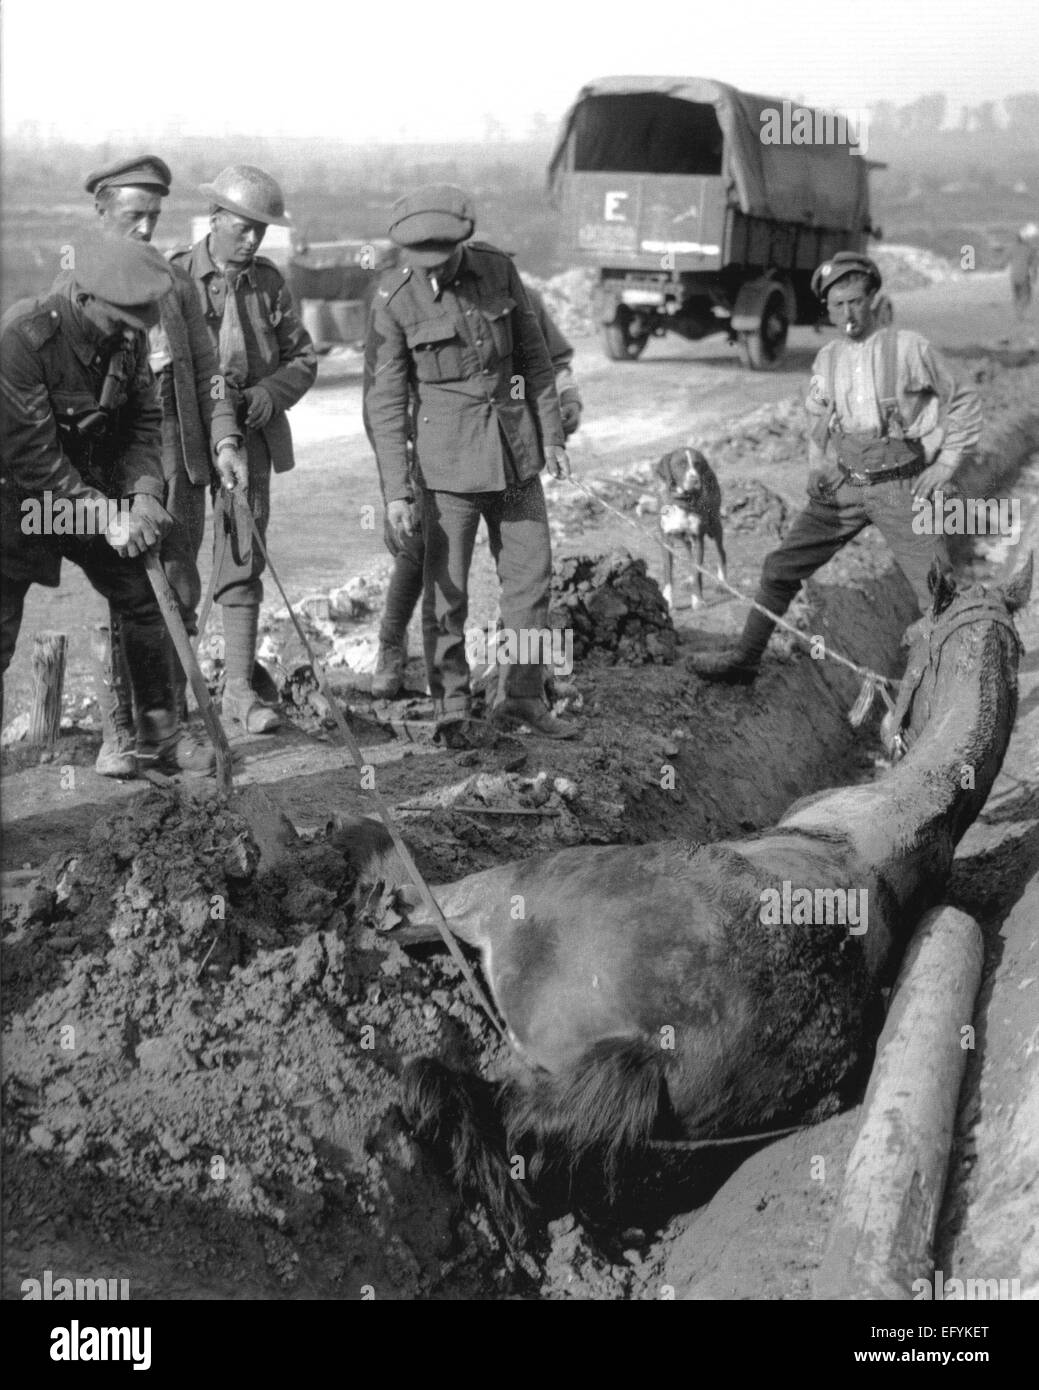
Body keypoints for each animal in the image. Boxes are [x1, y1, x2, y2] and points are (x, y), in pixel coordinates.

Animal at [653, 447, 728, 611]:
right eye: (681, 464)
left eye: (697, 464)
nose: (695, 480)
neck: (681, 501)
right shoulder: (666, 541)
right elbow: (668, 573)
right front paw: (668, 601)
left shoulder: (698, 539)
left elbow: (698, 572)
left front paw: (698, 600)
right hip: (685, 539)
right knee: (689, 557)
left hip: (715, 526)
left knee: (721, 553)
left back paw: (722, 584)